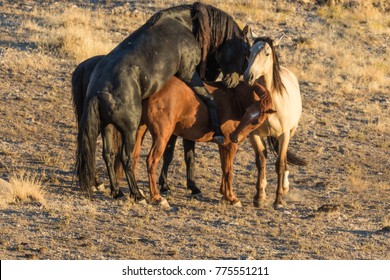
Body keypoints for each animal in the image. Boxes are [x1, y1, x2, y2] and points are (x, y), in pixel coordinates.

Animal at [134, 76, 274, 208]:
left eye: (256, 121)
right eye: (247, 112)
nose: (234, 136)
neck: (234, 99)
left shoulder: (223, 145)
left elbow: (224, 168)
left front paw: (224, 194)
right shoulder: (230, 145)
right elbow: (229, 171)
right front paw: (232, 198)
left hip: (140, 130)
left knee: (133, 157)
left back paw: (138, 193)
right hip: (162, 137)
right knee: (151, 161)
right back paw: (157, 197)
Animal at [245, 36, 306, 209]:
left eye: (266, 53)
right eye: (250, 51)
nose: (248, 76)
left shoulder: (283, 135)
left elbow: (279, 164)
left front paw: (278, 200)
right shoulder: (254, 135)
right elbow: (260, 161)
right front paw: (259, 197)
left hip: (290, 132)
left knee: (283, 158)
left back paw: (284, 187)